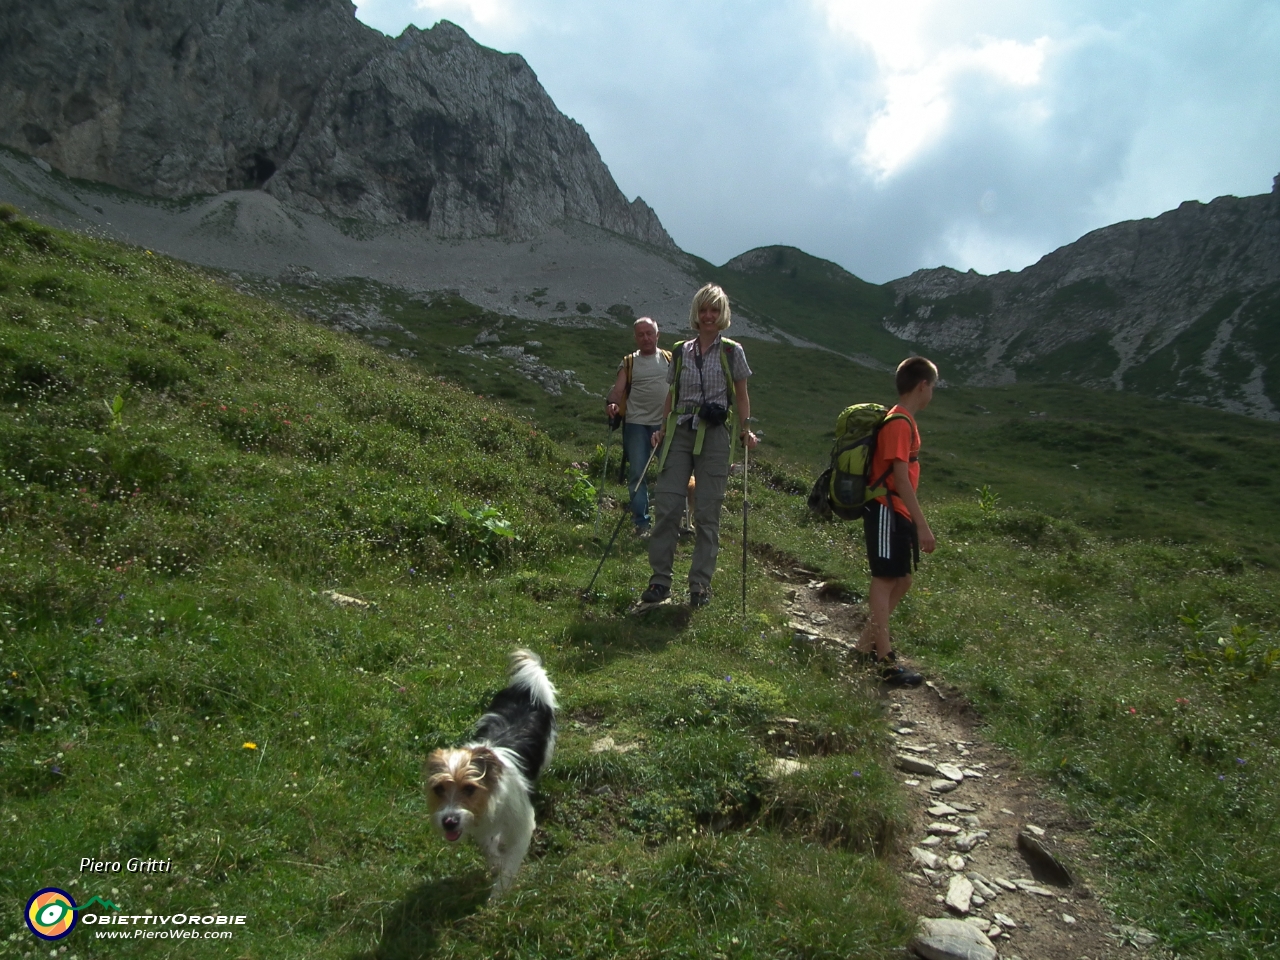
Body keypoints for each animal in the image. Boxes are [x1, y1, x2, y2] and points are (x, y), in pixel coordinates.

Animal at [424, 650, 555, 901]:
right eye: (439, 789)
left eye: (469, 789)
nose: (448, 822)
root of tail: (526, 689)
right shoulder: (481, 827)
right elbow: (490, 850)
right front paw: (495, 864)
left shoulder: (522, 825)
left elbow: (510, 864)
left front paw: (497, 897)